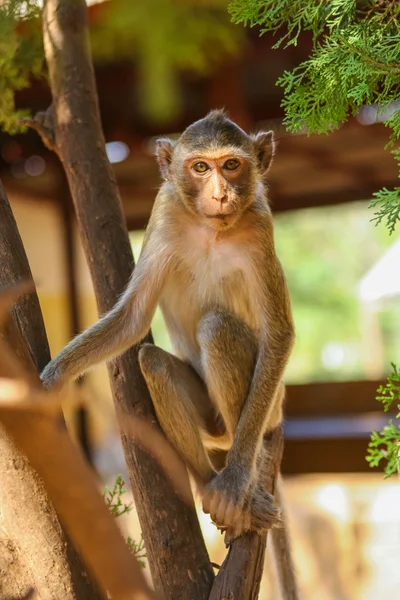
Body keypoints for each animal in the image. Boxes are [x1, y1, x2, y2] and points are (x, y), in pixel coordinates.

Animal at [40, 108, 296, 544]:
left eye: (231, 165)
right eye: (200, 167)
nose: (220, 195)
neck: (211, 230)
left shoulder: (260, 228)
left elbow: (278, 333)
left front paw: (237, 479)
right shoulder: (165, 213)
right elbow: (132, 318)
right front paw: (55, 377)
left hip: (270, 407)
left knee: (216, 327)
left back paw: (242, 486)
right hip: (208, 420)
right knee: (154, 362)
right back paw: (207, 482)